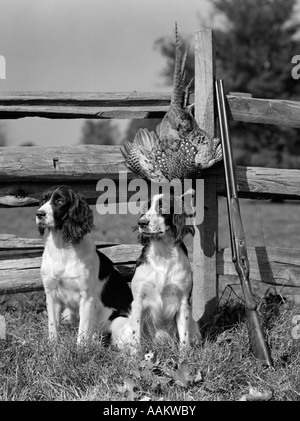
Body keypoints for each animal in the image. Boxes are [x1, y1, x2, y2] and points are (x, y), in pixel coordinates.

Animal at [36, 185, 132, 342]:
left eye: (60, 200)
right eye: (44, 199)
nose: (39, 214)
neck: (63, 249)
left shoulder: (87, 298)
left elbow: (82, 330)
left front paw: (80, 348)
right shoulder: (51, 293)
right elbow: (52, 326)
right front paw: (52, 345)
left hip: (119, 322)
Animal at [109, 194, 199, 352]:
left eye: (162, 207)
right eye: (146, 208)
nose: (141, 222)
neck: (162, 253)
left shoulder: (183, 301)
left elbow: (184, 336)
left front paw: (184, 355)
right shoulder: (138, 301)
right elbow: (136, 336)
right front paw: (135, 356)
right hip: (120, 321)